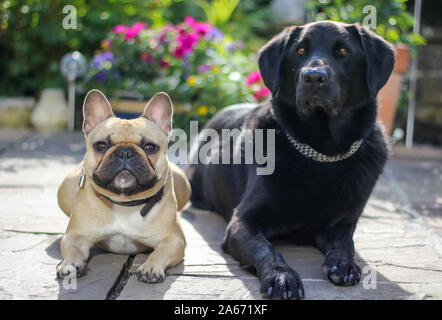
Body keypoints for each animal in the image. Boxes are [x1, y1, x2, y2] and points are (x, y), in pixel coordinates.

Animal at [186, 21, 394, 298]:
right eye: (300, 50)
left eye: (343, 51)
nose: (314, 77)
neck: (321, 152)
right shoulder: (242, 221)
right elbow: (266, 249)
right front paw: (282, 277)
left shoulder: (342, 223)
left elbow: (345, 243)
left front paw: (343, 263)